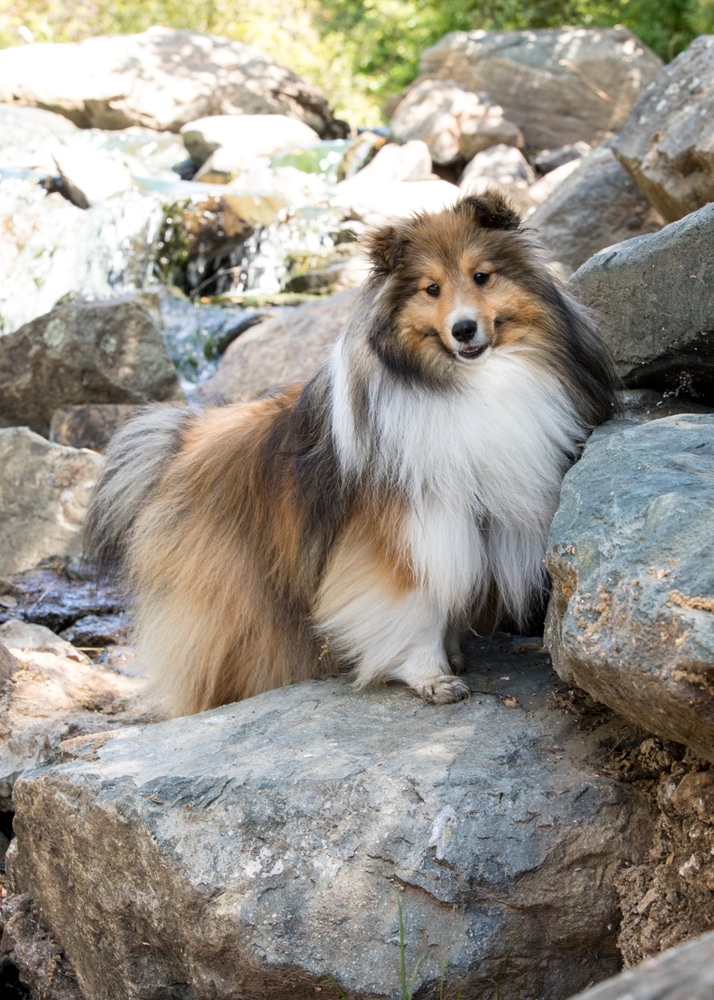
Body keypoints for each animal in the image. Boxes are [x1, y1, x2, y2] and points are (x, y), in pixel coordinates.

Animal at [83, 191, 616, 716]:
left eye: (482, 276)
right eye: (431, 289)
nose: (464, 329)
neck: (465, 383)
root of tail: (186, 434)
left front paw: (452, 654)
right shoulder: (405, 526)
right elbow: (415, 602)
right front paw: (430, 675)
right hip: (235, 598)